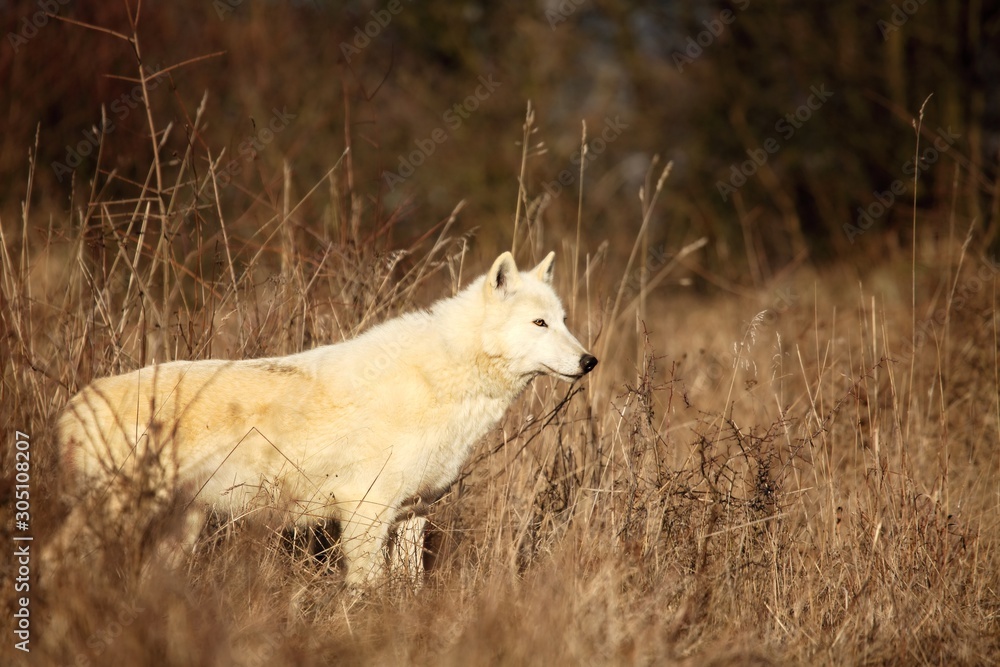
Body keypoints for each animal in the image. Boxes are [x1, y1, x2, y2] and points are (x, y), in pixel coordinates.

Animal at [56, 251, 597, 586]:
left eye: (564, 321)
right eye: (539, 323)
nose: (589, 361)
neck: (444, 380)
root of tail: (74, 404)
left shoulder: (411, 514)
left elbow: (409, 590)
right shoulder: (365, 511)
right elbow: (368, 591)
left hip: (176, 530)